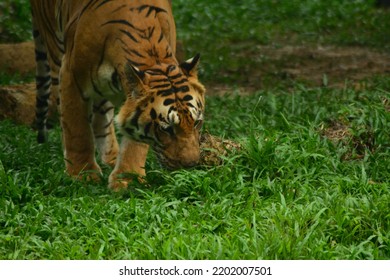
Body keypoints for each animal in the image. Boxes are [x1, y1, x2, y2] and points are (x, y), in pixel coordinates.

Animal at [30, 0, 206, 190]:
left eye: (197, 123)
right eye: (166, 129)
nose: (190, 165)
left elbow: (135, 143)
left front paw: (128, 179)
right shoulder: (71, 77)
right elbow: (77, 131)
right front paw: (82, 175)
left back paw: (112, 158)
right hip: (54, 49)